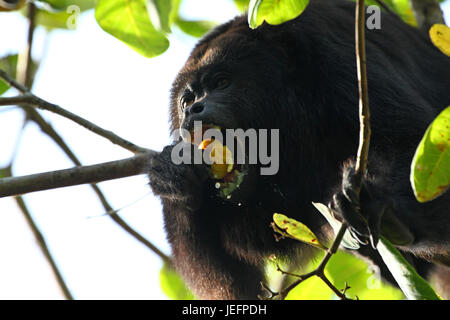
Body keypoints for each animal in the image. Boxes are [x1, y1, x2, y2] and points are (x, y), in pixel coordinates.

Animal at [149, 0, 450, 300]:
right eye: (186, 99)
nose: (192, 109)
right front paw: (173, 174)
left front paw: (377, 202)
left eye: (221, 81)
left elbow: (406, 139)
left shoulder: (335, 52)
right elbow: (238, 278)